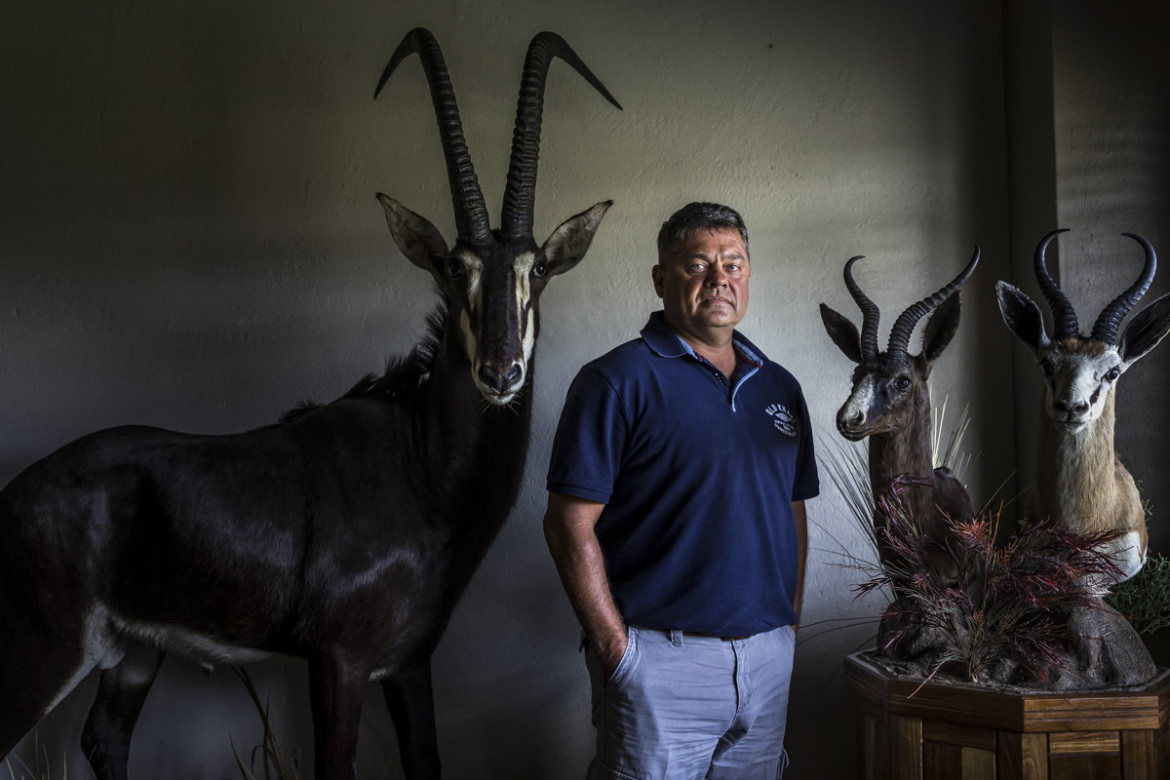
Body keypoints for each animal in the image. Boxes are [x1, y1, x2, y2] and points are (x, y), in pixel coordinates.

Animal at [0, 25, 622, 780]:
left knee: (106, 738)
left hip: (132, 651)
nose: (500, 371)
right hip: (44, 647)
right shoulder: (339, 661)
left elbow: (427, 762)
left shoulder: (408, 664)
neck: (420, 471)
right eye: (454, 267)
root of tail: (10, 496)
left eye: (538, 268)